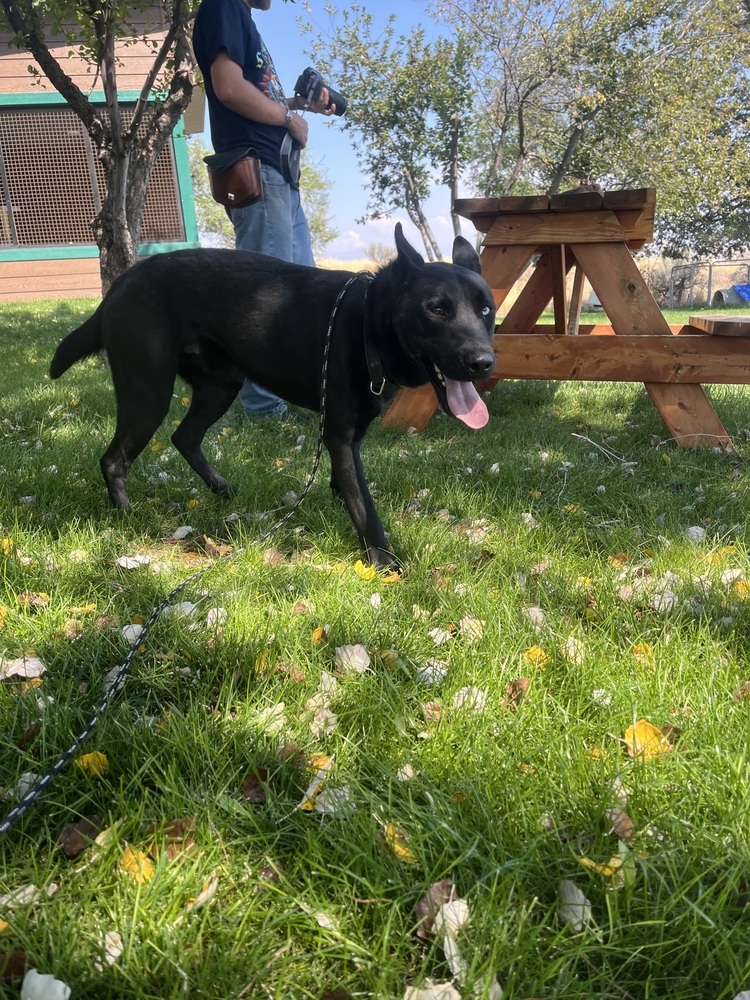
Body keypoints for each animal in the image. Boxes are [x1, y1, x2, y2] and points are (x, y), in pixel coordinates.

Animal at [53, 228, 500, 572]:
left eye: (486, 310)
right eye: (436, 309)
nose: (483, 362)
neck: (366, 324)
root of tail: (120, 284)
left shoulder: (350, 436)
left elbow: (345, 487)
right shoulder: (340, 436)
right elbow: (365, 506)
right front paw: (384, 560)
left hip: (220, 387)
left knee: (185, 437)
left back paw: (221, 489)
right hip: (149, 393)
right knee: (115, 459)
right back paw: (128, 517)